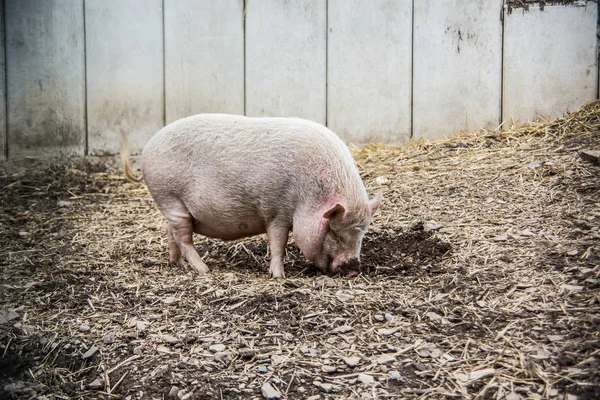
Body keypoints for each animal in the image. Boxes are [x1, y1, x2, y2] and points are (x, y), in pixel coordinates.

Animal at [123, 114, 380, 278]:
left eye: (362, 234)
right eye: (334, 233)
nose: (353, 268)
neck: (308, 196)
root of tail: (148, 147)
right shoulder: (276, 210)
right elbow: (278, 243)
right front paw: (279, 276)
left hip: (172, 206)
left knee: (171, 233)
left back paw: (178, 266)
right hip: (169, 197)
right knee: (184, 239)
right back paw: (203, 270)